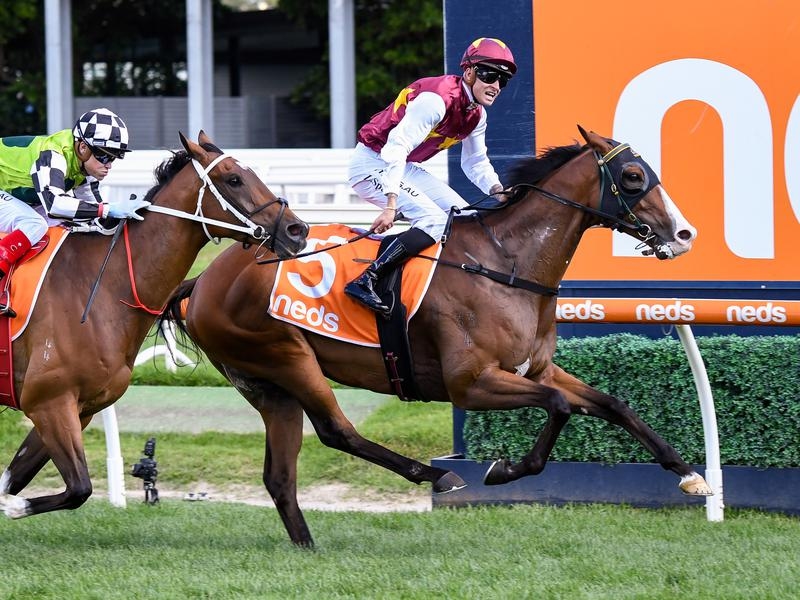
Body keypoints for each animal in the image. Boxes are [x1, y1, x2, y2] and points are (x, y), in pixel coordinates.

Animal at [0, 131, 309, 518]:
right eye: (234, 179)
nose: (298, 230)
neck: (101, 288)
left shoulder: (78, 409)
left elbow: (19, 479)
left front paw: (9, 502)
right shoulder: (48, 403)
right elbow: (78, 488)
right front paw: (13, 507)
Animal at [160, 126, 711, 547]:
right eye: (633, 176)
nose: (685, 235)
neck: (505, 265)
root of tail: (202, 281)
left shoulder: (536, 368)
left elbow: (613, 403)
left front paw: (689, 474)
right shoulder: (472, 383)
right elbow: (558, 407)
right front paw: (501, 470)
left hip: (268, 386)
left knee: (280, 475)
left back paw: (307, 546)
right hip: (285, 358)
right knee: (339, 432)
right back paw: (437, 475)